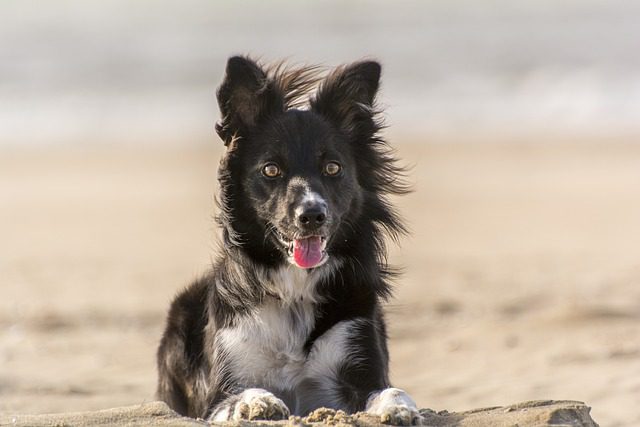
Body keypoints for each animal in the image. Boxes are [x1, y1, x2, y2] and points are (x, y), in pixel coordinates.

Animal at [158, 56, 422, 424]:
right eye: (271, 170)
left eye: (332, 168)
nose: (312, 215)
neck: (294, 291)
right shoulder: (218, 390)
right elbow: (237, 396)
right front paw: (256, 403)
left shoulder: (359, 361)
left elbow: (389, 389)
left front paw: (399, 407)